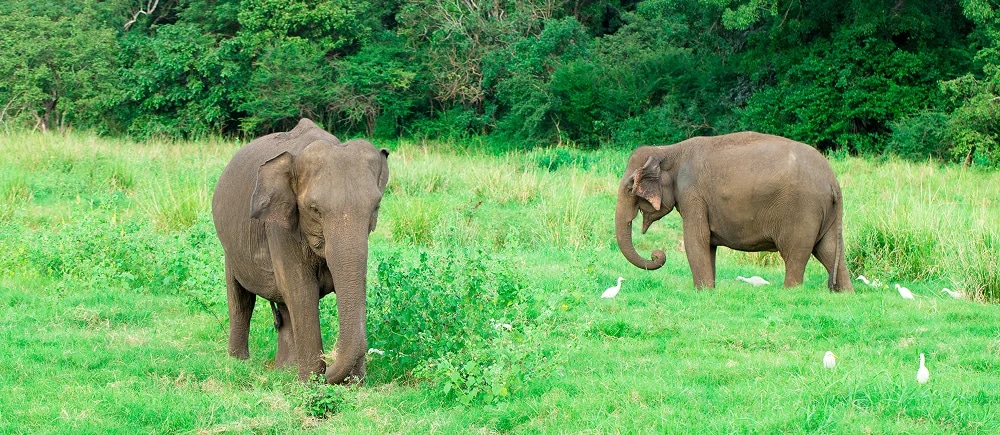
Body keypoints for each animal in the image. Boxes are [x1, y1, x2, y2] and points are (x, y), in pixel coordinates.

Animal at [211, 118, 389, 384]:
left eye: (375, 206)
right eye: (314, 209)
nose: (329, 366)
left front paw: (353, 384)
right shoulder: (279, 225)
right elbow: (301, 289)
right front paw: (311, 382)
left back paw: (284, 369)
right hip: (230, 248)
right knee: (241, 299)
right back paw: (238, 361)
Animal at [614, 132, 852, 292]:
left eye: (630, 187)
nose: (657, 254)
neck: (668, 150)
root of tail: (833, 181)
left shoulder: (692, 194)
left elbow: (696, 239)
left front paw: (702, 291)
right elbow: (707, 244)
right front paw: (709, 290)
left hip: (803, 210)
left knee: (796, 254)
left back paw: (789, 292)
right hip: (825, 213)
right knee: (829, 250)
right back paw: (844, 292)